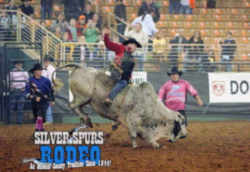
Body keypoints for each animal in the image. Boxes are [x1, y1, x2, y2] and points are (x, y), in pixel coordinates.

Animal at [53, 63, 188, 148]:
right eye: (180, 124)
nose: (184, 136)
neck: (151, 106)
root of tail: (80, 67)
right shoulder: (133, 120)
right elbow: (138, 134)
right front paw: (143, 144)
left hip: (85, 100)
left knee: (78, 109)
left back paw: (85, 123)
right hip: (83, 97)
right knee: (72, 106)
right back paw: (86, 120)